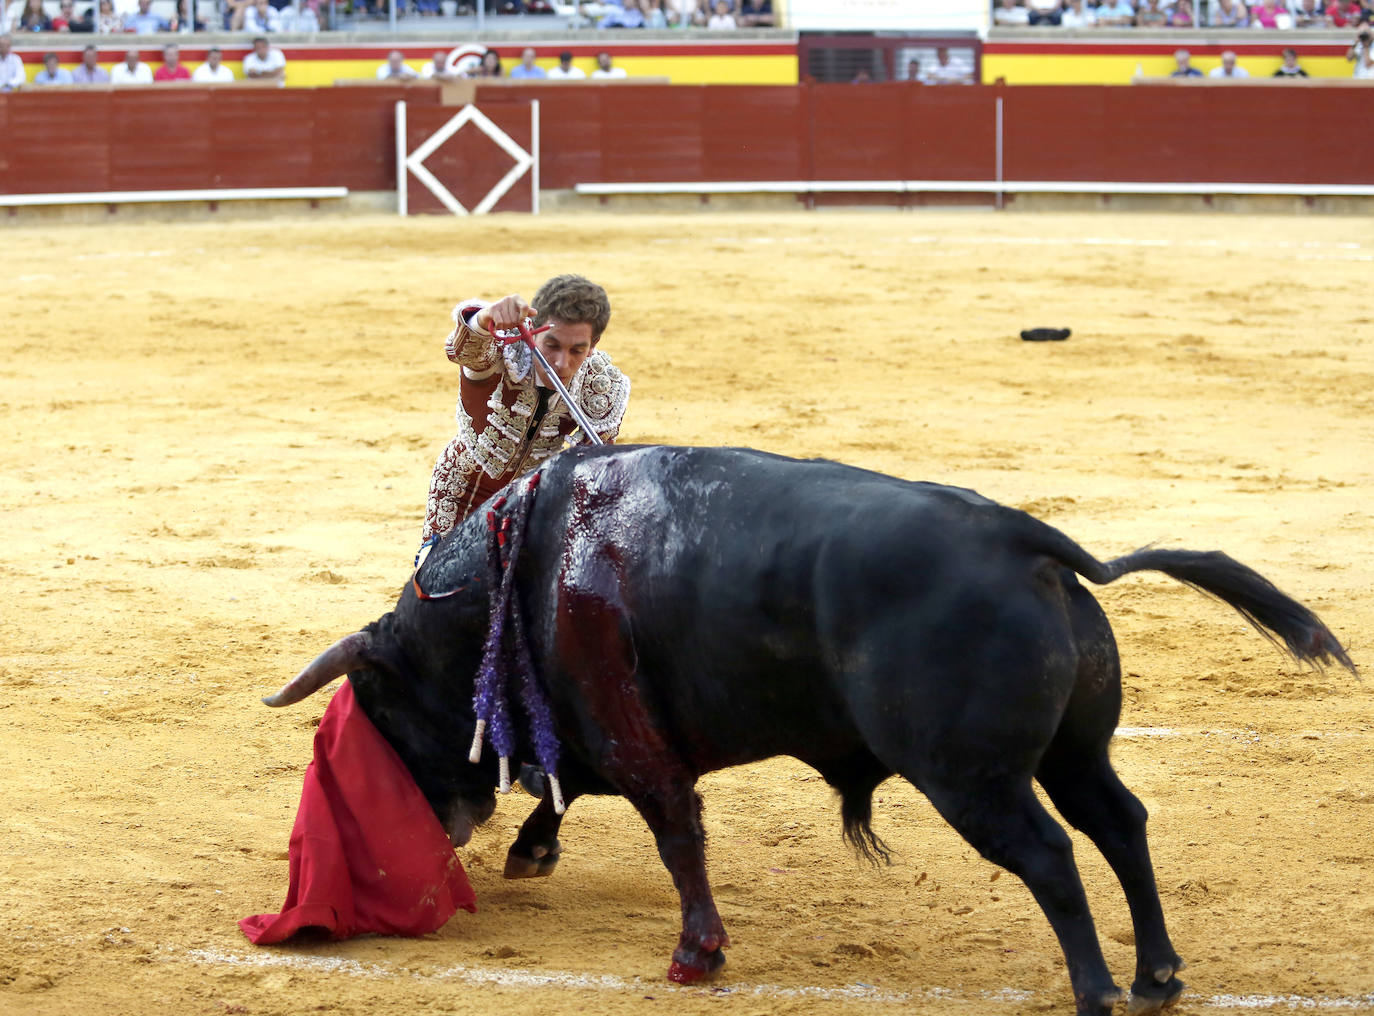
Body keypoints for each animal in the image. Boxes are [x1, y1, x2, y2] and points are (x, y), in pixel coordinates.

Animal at [262, 448, 1357, 1016]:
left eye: (384, 702)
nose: (440, 826)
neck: (520, 564)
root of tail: (1022, 538)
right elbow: (570, 789)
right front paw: (538, 848)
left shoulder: (632, 734)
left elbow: (674, 832)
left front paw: (696, 954)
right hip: (1072, 750)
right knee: (1120, 823)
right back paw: (1156, 974)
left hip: (972, 777)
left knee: (1051, 855)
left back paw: (1094, 991)